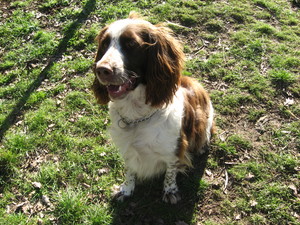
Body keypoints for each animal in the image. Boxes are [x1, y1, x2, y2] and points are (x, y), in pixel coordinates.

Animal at [91, 13, 213, 205]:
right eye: (104, 43)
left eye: (131, 44)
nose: (101, 70)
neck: (136, 115)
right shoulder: (128, 150)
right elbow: (130, 171)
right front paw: (126, 190)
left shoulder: (174, 149)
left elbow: (170, 172)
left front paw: (170, 191)